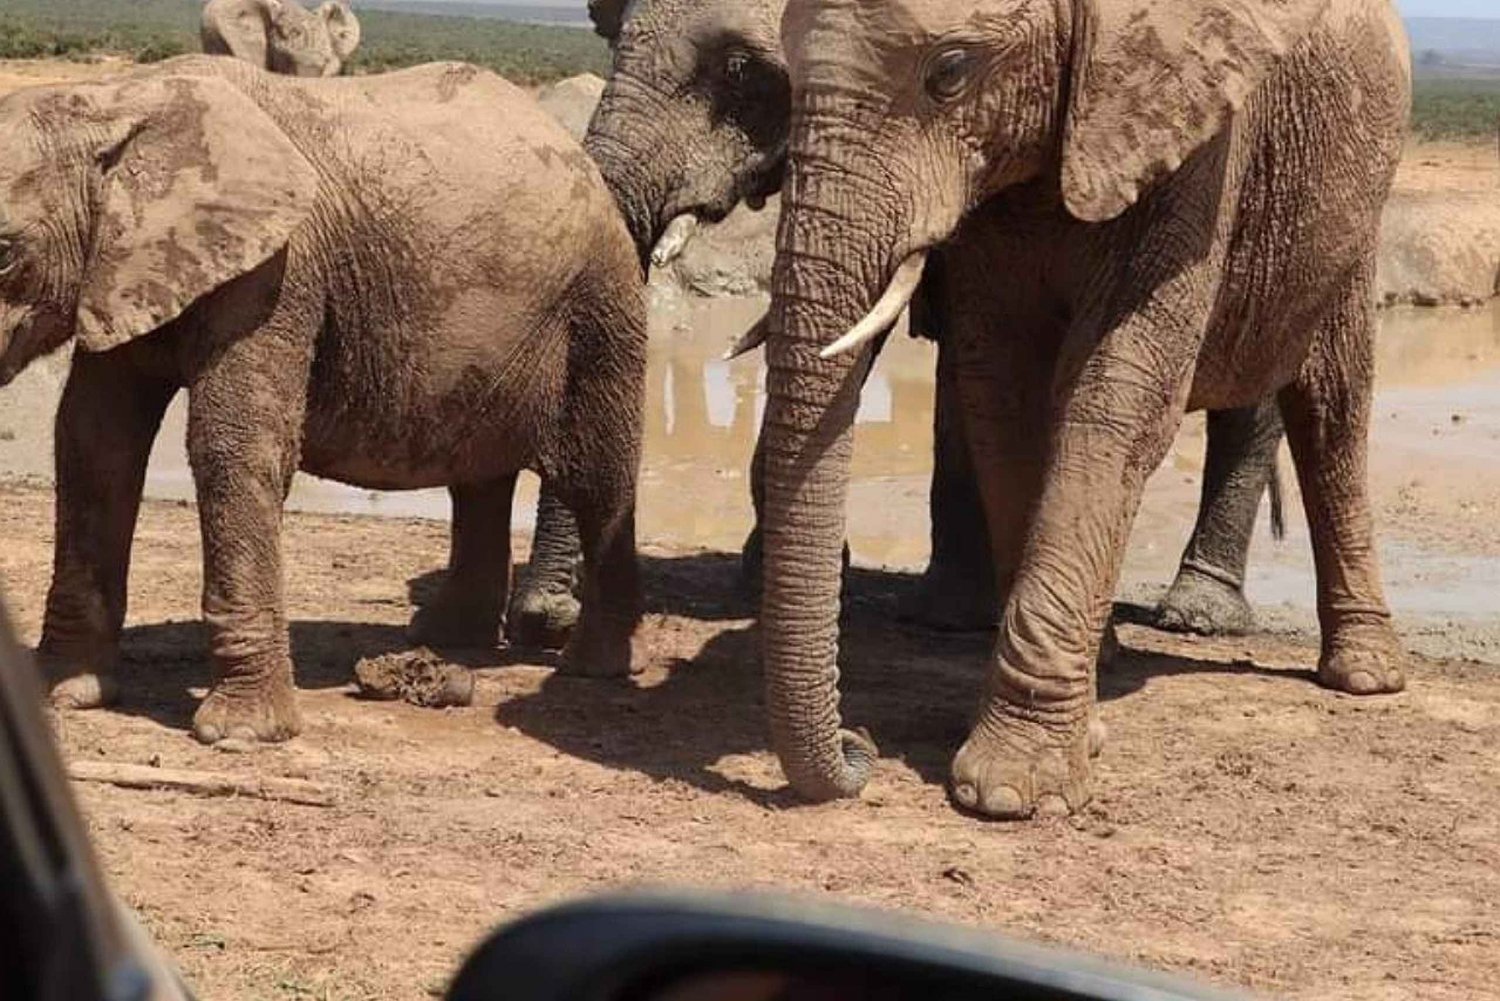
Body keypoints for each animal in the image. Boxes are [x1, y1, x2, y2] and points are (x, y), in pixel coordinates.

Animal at [0, 54, 645, 744]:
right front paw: (64, 695)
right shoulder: (122, 268)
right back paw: (449, 641)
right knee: (478, 479)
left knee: (598, 480)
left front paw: (241, 735)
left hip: (600, 307)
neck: (115, 100)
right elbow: (94, 442)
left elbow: (232, 444)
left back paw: (593, 667)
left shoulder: (280, 268)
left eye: (4, 254)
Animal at [756, 0, 1410, 816]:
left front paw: (1008, 791)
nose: (860, 747)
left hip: (1354, 213)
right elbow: (1004, 398)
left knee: (1333, 408)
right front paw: (1077, 731)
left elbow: (1115, 400)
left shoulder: (1195, 144)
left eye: (950, 72)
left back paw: (1365, 676)